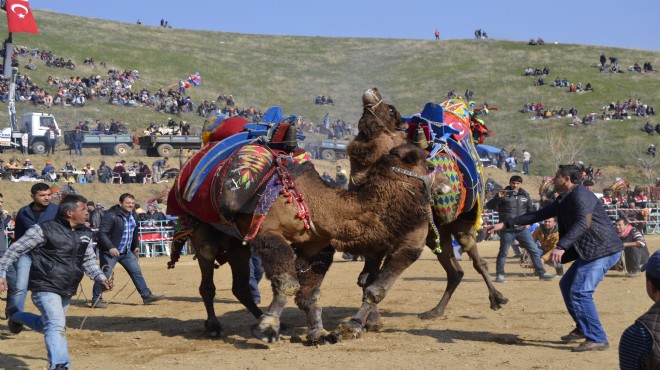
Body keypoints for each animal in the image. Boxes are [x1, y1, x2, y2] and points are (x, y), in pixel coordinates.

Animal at [348, 87, 508, 324]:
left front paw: (362, 322)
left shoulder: (409, 241)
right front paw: (372, 320)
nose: (373, 91)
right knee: (455, 272)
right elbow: (366, 278)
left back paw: (497, 298)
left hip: (463, 221)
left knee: (476, 259)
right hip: (438, 234)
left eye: (391, 109)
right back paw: (435, 311)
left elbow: (376, 282)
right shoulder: (376, 240)